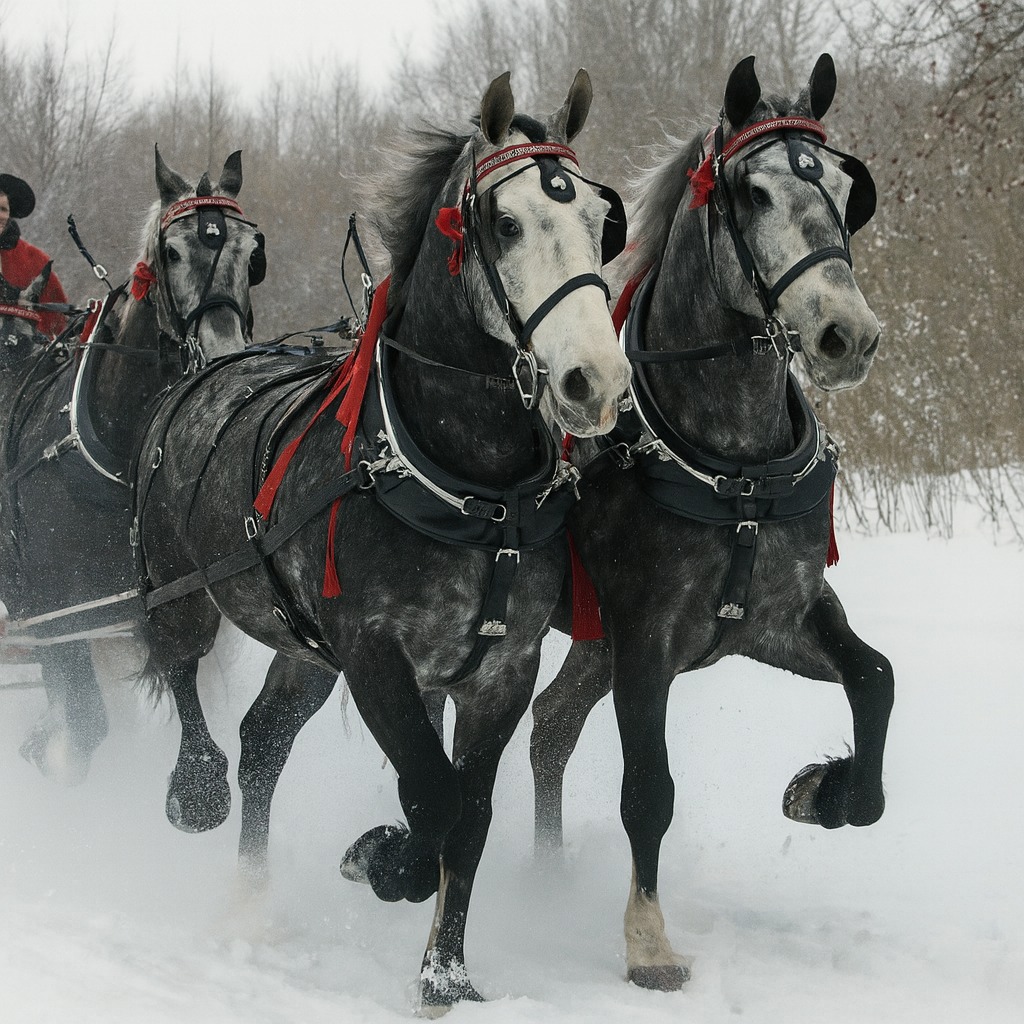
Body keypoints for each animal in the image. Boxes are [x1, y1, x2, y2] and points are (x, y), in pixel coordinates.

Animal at [130, 70, 631, 1011]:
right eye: (506, 224)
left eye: (599, 218)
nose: (598, 379)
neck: (473, 489)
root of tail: (209, 368)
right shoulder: (374, 654)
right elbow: (432, 796)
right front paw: (383, 861)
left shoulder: (501, 671)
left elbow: (470, 818)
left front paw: (447, 974)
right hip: (183, 590)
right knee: (184, 673)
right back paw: (195, 787)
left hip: (304, 648)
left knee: (264, 744)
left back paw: (253, 893)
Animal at [529, 54, 893, 991]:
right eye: (753, 193)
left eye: (847, 187)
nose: (847, 334)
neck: (736, 471)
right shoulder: (646, 640)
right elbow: (648, 790)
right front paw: (648, 942)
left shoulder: (779, 619)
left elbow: (874, 678)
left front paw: (826, 792)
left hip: (592, 645)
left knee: (548, 729)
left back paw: (544, 874)